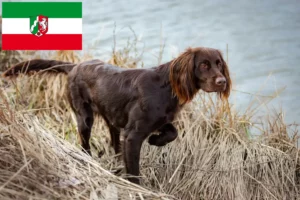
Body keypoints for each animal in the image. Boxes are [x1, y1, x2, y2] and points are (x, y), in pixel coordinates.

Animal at [2, 47, 232, 184]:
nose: (222, 82)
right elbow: (134, 171)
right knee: (84, 144)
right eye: (203, 64)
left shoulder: (159, 121)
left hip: (111, 118)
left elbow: (172, 132)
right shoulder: (133, 135)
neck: (166, 87)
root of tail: (76, 65)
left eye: (219, 63)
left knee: (113, 142)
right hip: (84, 117)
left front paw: (156, 140)